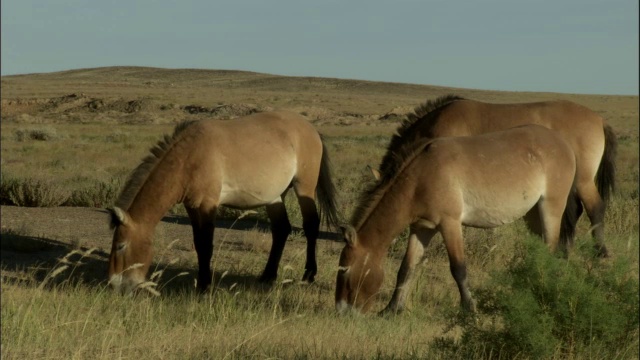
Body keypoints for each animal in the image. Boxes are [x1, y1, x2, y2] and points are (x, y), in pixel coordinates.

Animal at [107, 111, 342, 294]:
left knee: (310, 226)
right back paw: (267, 276)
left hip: (304, 187)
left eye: (120, 246)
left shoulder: (207, 205)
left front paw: (204, 286)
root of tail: (312, 129)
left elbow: (206, 245)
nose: (114, 285)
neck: (189, 158)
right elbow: (199, 243)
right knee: (281, 229)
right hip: (275, 197)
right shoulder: (192, 207)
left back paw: (309, 275)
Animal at [338, 125, 576, 314]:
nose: (342, 311)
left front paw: (469, 309)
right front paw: (392, 309)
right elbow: (406, 268)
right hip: (533, 214)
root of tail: (565, 144)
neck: (421, 175)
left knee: (551, 249)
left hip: (551, 208)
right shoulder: (421, 228)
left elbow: (458, 269)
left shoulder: (449, 224)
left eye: (345, 270)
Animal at [372, 95, 616, 256]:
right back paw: (567, 250)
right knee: (573, 211)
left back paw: (601, 253)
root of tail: (598, 119)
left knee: (594, 208)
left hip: (583, 180)